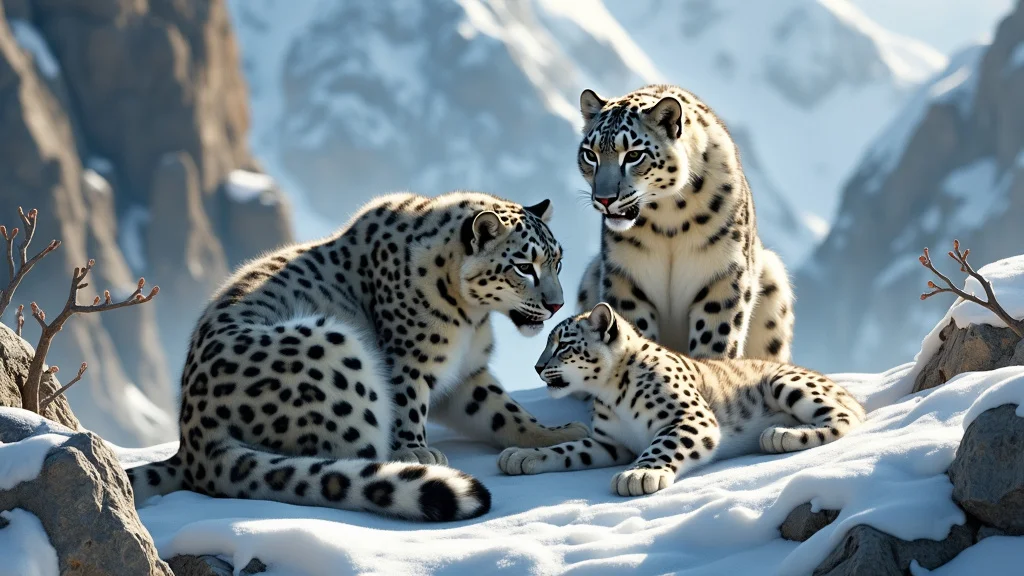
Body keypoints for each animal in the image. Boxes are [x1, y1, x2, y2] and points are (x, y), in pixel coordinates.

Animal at [127, 191, 590, 521]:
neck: (472, 318)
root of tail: (194, 440)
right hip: (331, 349)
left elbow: (504, 413)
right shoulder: (410, 361)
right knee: (351, 456)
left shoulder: (467, 374)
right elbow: (407, 405)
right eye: (523, 266)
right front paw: (415, 450)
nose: (555, 306)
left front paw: (558, 434)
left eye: (558, 262)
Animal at [498, 303, 864, 496]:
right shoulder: (610, 442)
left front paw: (638, 476)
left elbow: (662, 446)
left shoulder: (688, 416)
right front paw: (522, 456)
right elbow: (568, 450)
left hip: (786, 383)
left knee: (845, 418)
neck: (609, 394)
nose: (537, 367)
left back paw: (781, 436)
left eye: (562, 345)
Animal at [574, 84, 794, 365]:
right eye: (590, 154)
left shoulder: (722, 276)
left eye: (633, 154)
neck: (669, 219)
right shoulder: (627, 278)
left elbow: (715, 340)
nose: (604, 198)